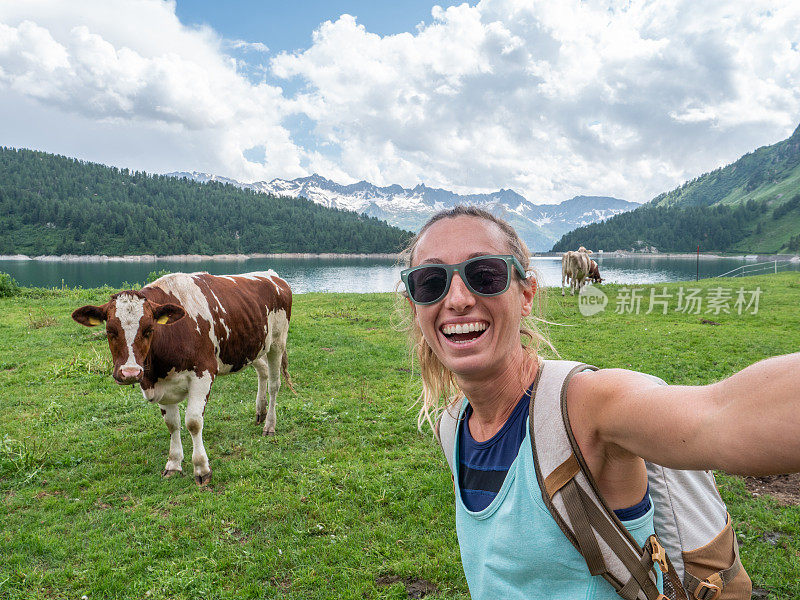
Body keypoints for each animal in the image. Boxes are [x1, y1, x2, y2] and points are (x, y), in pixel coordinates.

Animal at [72, 270, 290, 482]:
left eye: (149, 329)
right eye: (110, 330)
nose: (130, 372)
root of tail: (272, 275)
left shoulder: (203, 374)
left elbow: (193, 422)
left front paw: (201, 468)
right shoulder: (161, 384)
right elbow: (172, 424)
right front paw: (174, 464)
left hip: (277, 342)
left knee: (274, 384)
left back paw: (270, 425)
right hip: (252, 349)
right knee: (262, 371)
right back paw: (260, 412)